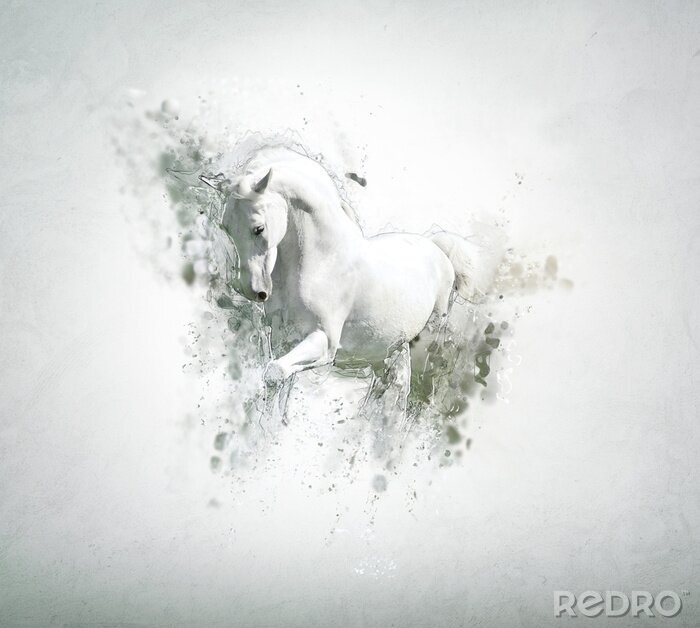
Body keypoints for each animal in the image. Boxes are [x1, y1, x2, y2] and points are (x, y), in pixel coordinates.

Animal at [201, 146, 486, 409]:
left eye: (258, 228)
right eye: (226, 227)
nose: (252, 290)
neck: (323, 261)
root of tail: (439, 250)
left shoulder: (324, 342)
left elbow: (274, 372)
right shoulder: (284, 339)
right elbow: (278, 389)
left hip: (425, 344)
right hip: (389, 349)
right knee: (389, 391)